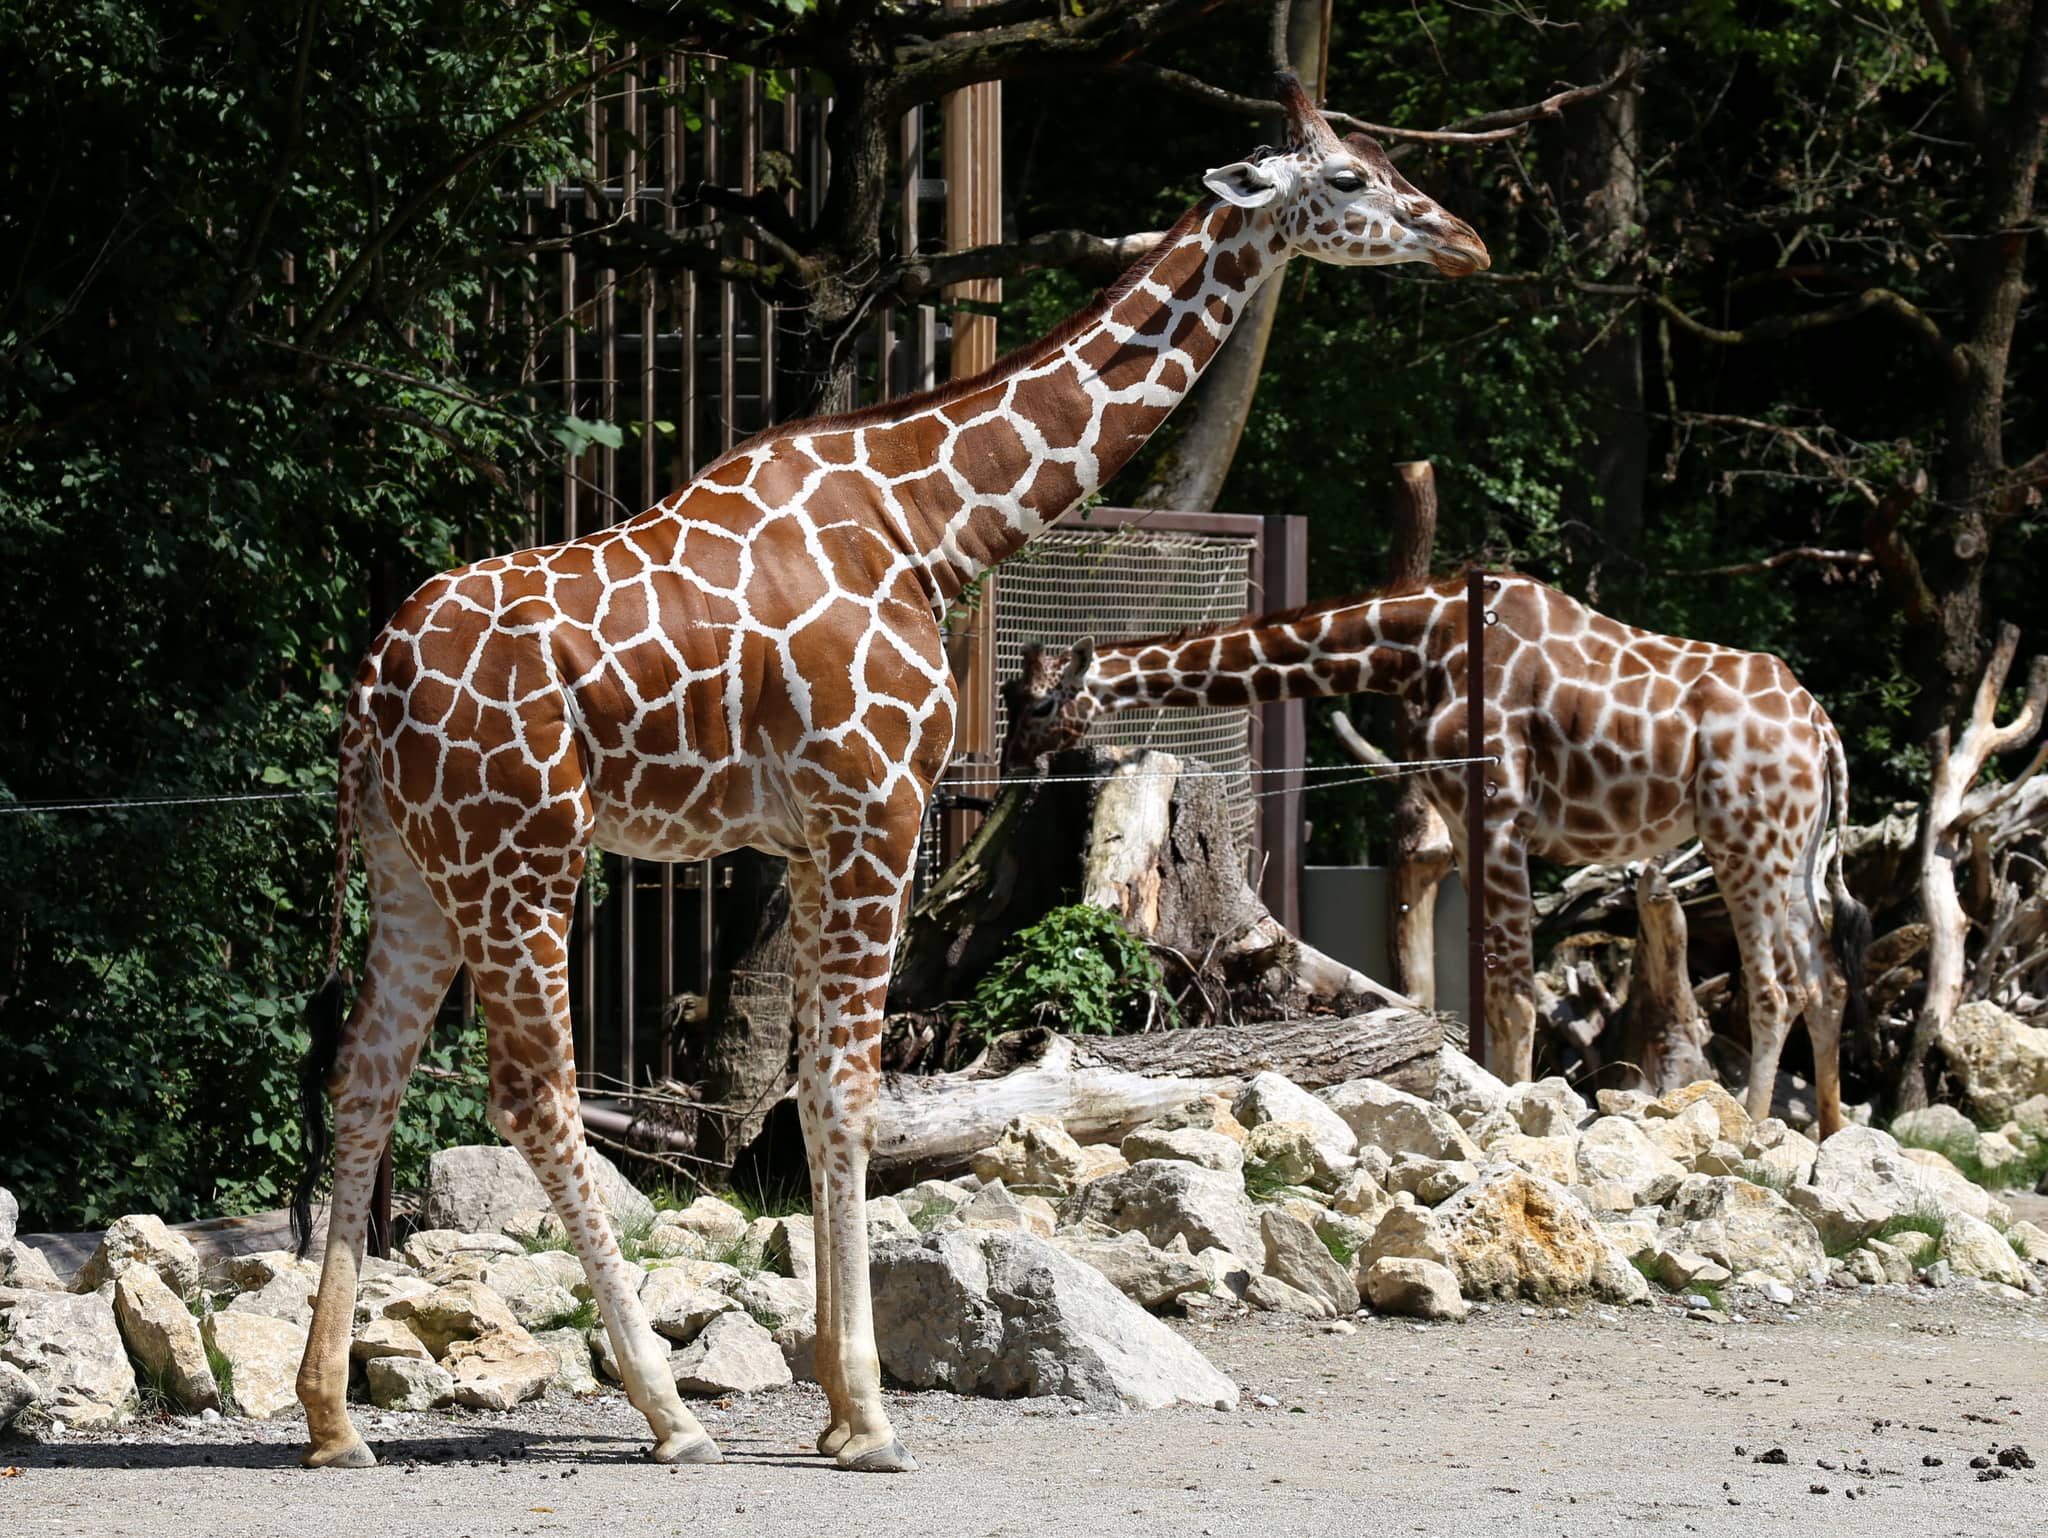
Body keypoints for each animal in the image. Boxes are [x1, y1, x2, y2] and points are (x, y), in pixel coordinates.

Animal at [288, 75, 1490, 1476]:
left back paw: (331, 1419)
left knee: (364, 1078)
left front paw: (830, 1398)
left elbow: (808, 1094)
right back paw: (666, 1411)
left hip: (414, 864)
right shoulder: (876, 807)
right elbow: (852, 1092)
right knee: (530, 1093)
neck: (932, 523)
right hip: (523, 853)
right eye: (1348, 178)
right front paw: (865, 1413)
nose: (1461, 240)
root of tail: (370, 684)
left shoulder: (810, 837)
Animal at [1001, 571, 1871, 1137]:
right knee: (1824, 978)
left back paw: (1754, 1128)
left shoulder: (1501, 811)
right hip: (1792, 847)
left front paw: (1520, 1114)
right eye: (1011, 697)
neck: (1414, 645)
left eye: (1040, 703)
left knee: (1774, 986)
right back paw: (1830, 1133)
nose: (1010, 764)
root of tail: (1821, 728)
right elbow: (1473, 986)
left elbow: (1514, 991)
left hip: (1744, 834)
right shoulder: (1461, 814)